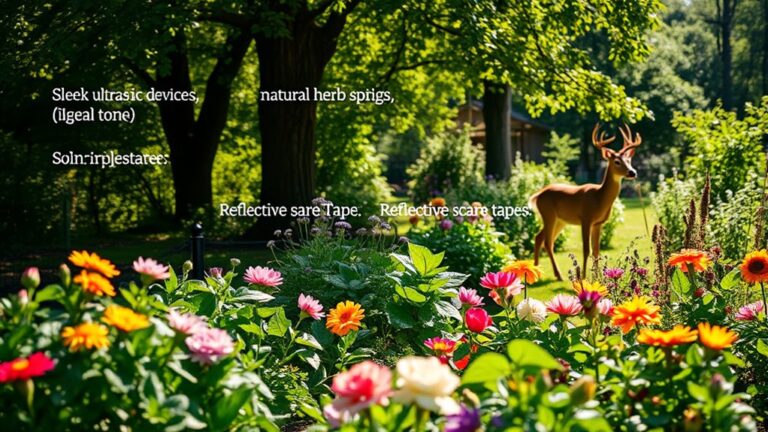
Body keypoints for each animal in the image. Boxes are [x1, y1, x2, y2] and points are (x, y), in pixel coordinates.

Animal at [529, 123, 642, 280]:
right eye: (617, 161)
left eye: (629, 160)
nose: (632, 172)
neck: (599, 198)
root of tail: (538, 194)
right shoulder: (585, 218)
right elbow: (586, 249)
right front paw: (582, 276)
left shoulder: (598, 223)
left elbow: (596, 251)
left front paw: (598, 277)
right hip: (548, 215)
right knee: (547, 241)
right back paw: (556, 275)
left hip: (560, 220)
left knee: (540, 238)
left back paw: (538, 271)